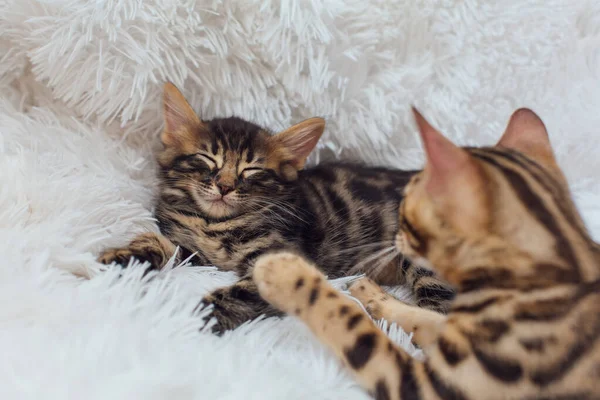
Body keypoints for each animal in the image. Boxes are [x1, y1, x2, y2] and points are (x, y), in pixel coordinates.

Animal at [98, 83, 454, 332]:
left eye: (251, 170)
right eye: (207, 159)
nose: (224, 186)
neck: (213, 222)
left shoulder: (283, 258)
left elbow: (238, 294)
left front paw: (197, 316)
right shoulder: (198, 252)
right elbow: (159, 244)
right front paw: (125, 256)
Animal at [253, 108, 600, 398]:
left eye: (408, 216)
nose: (396, 238)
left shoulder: (428, 385)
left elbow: (348, 323)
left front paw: (285, 273)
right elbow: (426, 319)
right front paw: (374, 297)